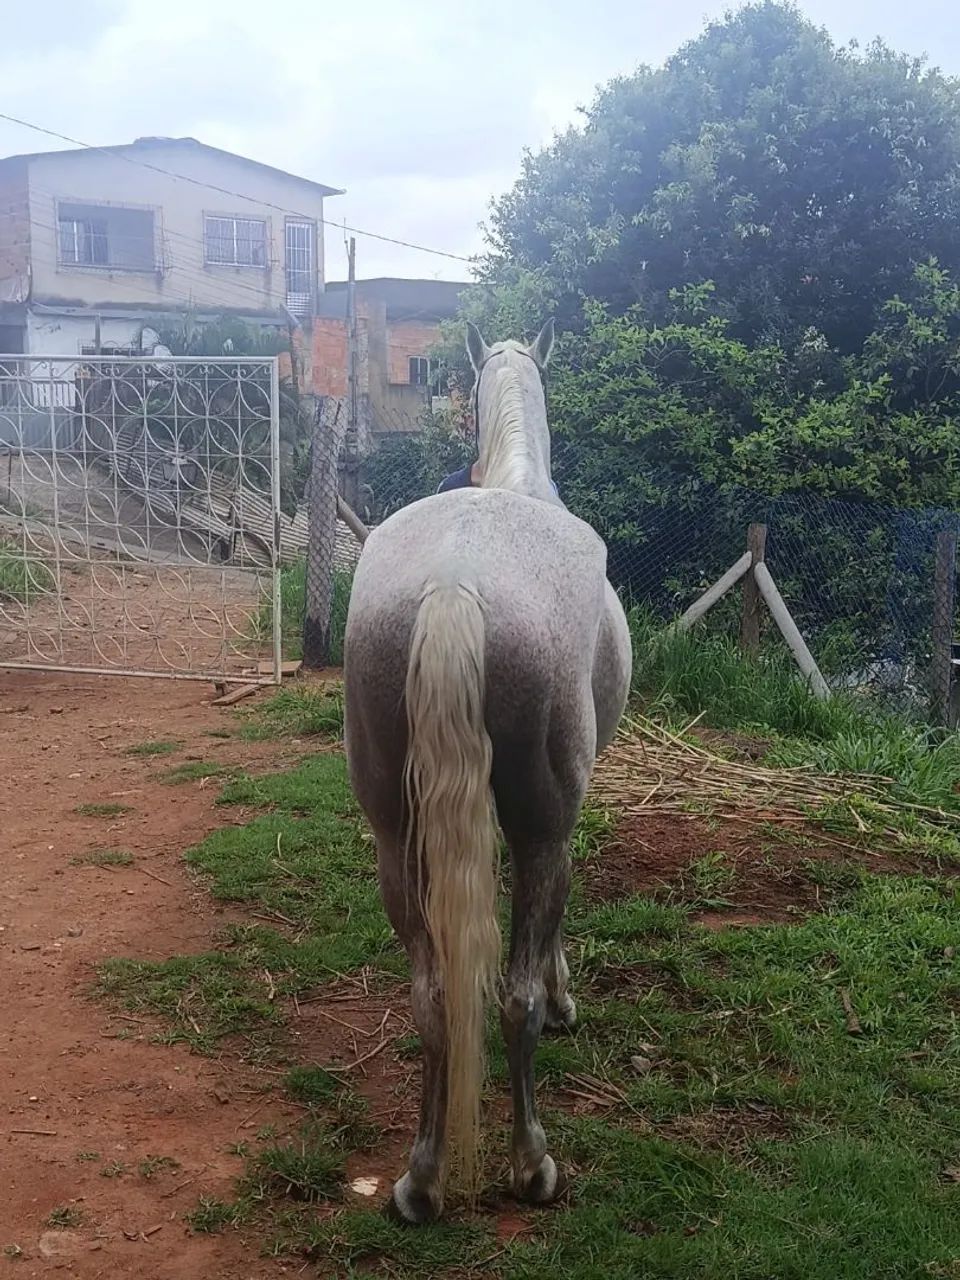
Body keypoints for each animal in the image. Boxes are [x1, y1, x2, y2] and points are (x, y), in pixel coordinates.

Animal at [343, 319, 632, 1224]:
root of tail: (454, 583)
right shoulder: (557, 821)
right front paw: (569, 993)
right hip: (544, 828)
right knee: (515, 999)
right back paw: (531, 1165)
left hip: (395, 838)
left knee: (434, 997)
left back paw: (422, 1180)